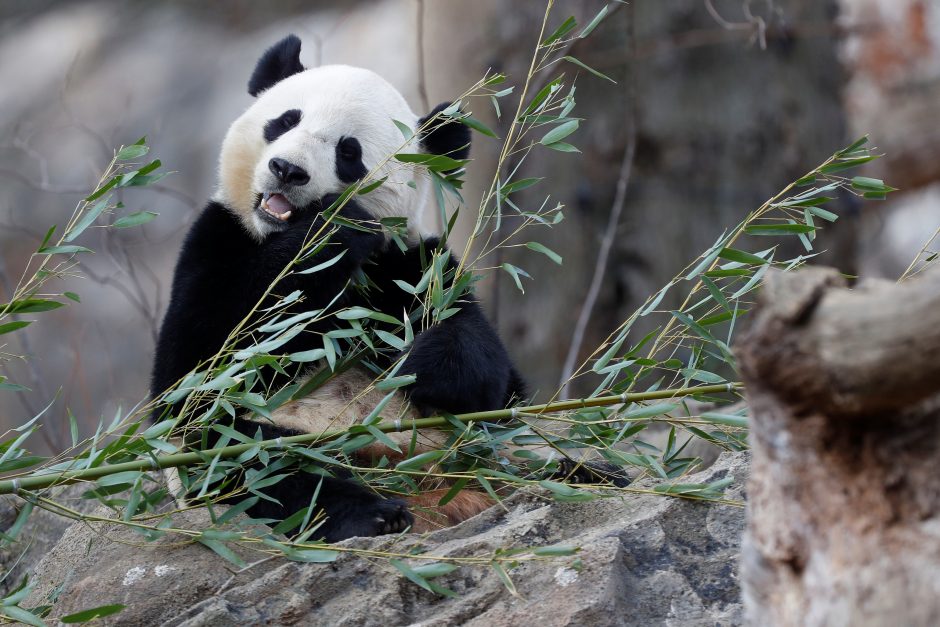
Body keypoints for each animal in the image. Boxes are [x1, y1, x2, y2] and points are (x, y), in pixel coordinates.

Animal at [151, 35, 528, 544]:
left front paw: (425, 366)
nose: (287, 170)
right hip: (256, 440)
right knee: (249, 459)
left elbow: (486, 368)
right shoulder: (217, 239)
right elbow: (196, 367)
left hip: (482, 442)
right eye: (286, 120)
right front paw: (331, 232)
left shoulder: (410, 266)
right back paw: (370, 513)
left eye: (348, 153)